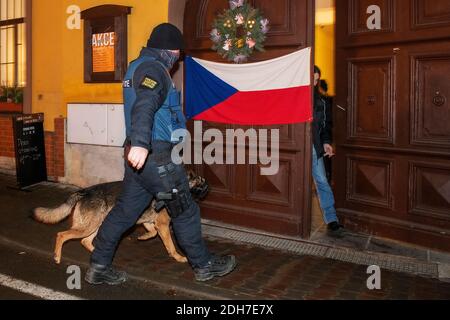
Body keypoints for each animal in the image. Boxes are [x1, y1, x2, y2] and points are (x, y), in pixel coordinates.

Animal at [33, 172, 209, 264]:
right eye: (200, 182)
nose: (208, 188)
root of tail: (84, 191)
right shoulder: (163, 225)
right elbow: (171, 246)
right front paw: (179, 257)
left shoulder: (149, 222)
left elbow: (152, 232)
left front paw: (143, 237)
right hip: (89, 226)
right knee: (62, 235)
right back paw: (57, 256)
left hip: (96, 225)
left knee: (85, 241)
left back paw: (100, 254)